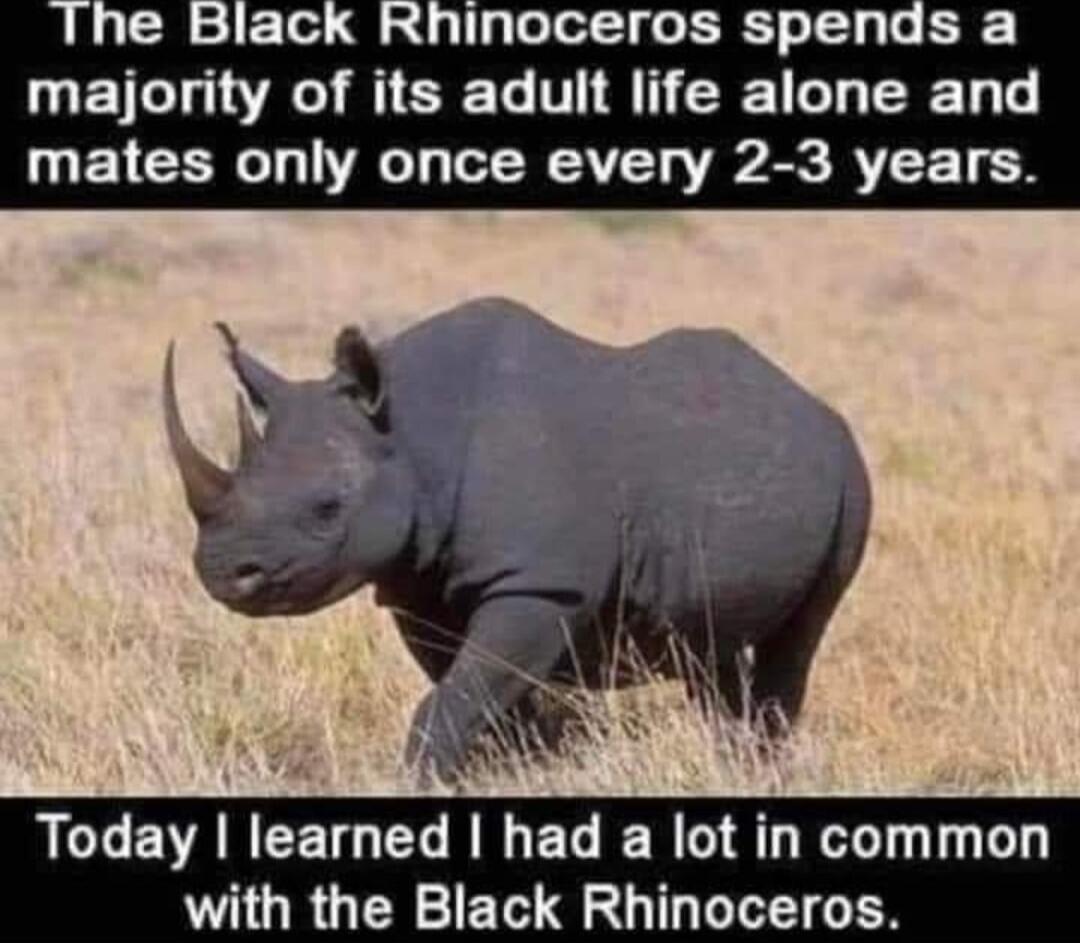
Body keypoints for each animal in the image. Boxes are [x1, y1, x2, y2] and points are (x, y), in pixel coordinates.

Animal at [164, 298, 871, 784]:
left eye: (327, 509)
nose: (224, 572)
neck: (412, 431)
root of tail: (810, 401)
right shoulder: (419, 588)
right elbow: (479, 701)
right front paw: (521, 769)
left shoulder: (540, 584)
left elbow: (455, 701)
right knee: (710, 642)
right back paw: (728, 760)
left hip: (851, 475)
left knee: (800, 637)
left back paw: (760, 765)